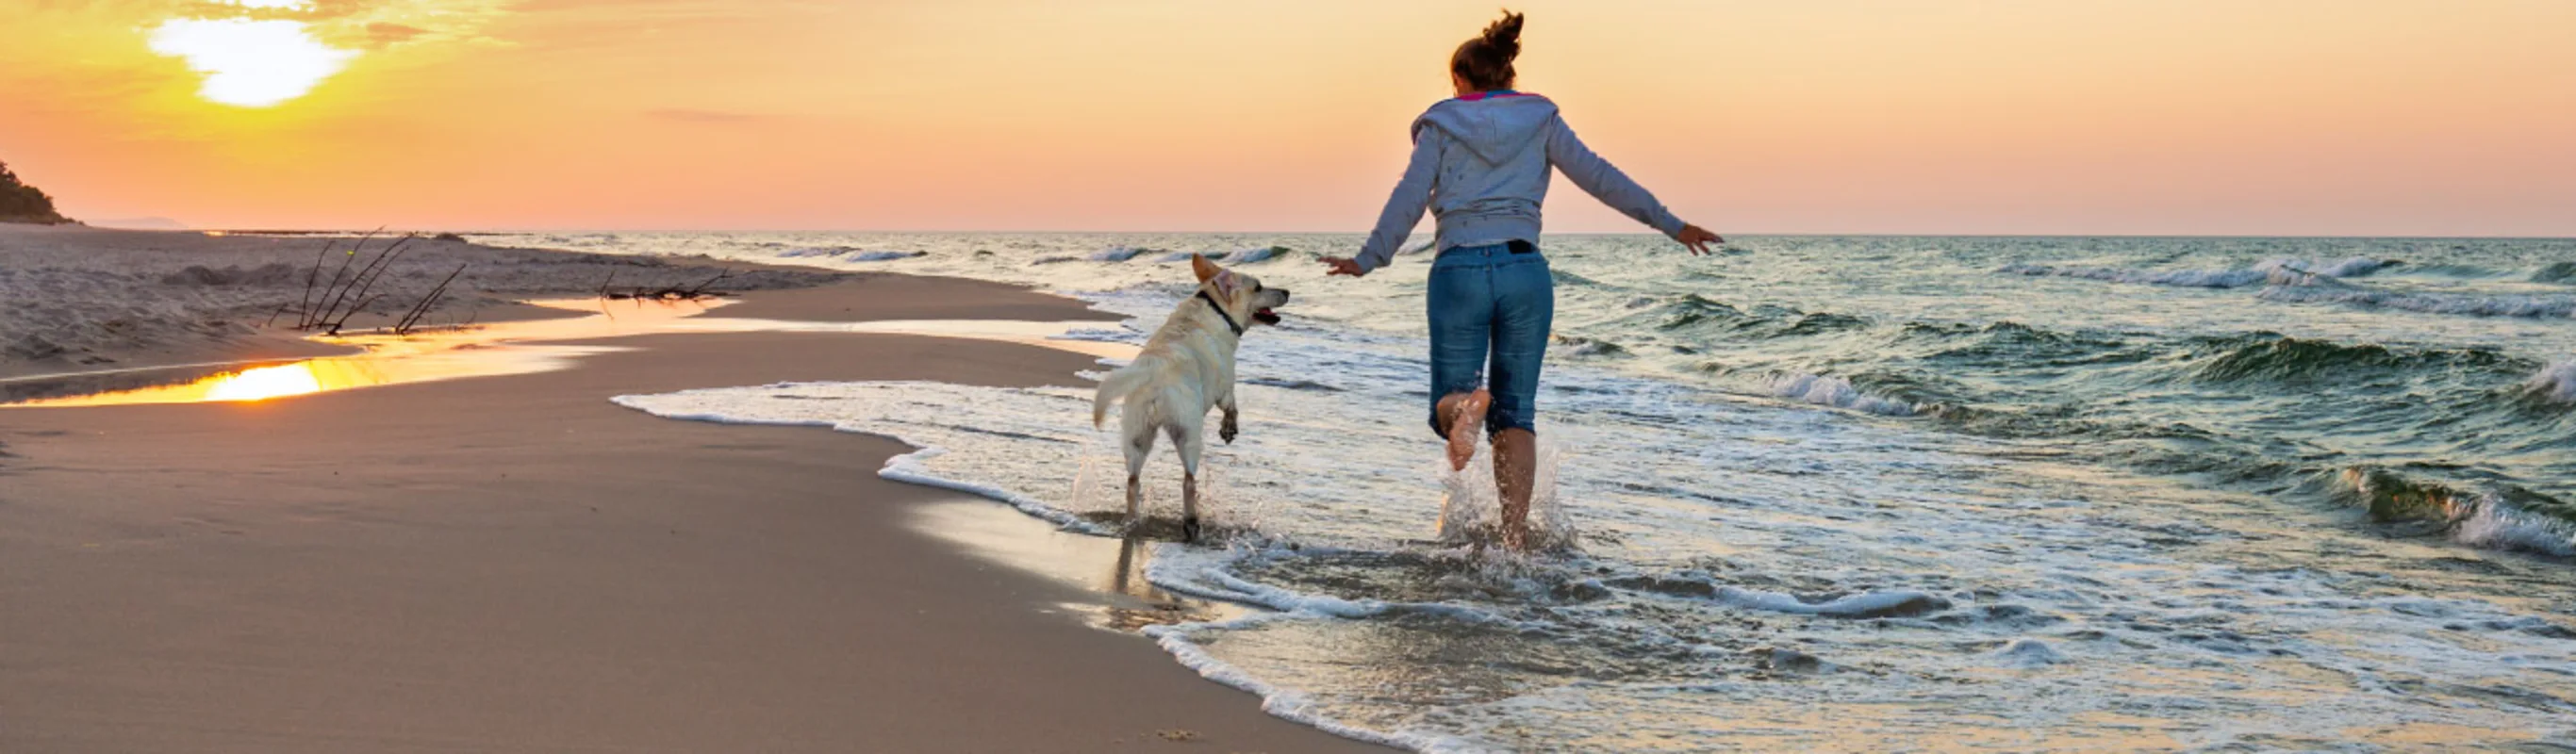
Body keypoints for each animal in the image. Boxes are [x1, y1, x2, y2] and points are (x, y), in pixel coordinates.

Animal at [1086, 252, 1288, 540]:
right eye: (1259, 287)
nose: (1287, 291)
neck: (1216, 308)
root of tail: (1154, 370)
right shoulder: (1225, 385)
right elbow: (1232, 406)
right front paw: (1229, 429)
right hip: (1188, 433)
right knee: (1188, 480)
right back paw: (1191, 523)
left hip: (1136, 434)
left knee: (1133, 482)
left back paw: (1130, 520)